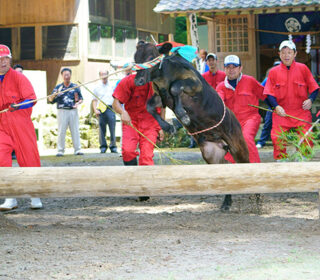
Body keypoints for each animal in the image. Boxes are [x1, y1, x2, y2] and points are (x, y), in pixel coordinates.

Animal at [134, 42, 251, 210]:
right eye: (135, 57)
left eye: (151, 56)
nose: (138, 80)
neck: (164, 77)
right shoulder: (160, 97)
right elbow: (149, 106)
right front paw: (168, 127)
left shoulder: (194, 84)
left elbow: (175, 88)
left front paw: (183, 115)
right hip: (211, 153)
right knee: (225, 169)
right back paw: (226, 202)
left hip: (238, 146)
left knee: (248, 165)